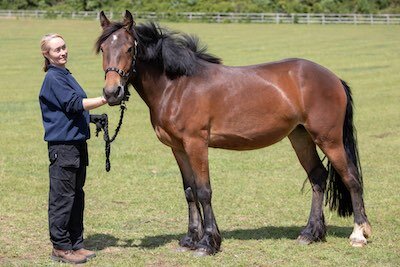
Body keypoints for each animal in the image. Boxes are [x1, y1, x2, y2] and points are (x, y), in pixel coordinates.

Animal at [95, 10, 370, 256]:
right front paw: (191, 239)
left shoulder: (196, 144)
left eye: (130, 49)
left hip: (329, 139)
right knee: (318, 177)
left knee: (351, 178)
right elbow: (189, 191)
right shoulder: (178, 148)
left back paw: (359, 234)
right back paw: (310, 233)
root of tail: (333, 78)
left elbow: (204, 191)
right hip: (300, 137)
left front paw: (208, 243)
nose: (112, 92)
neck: (177, 86)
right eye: (103, 49)